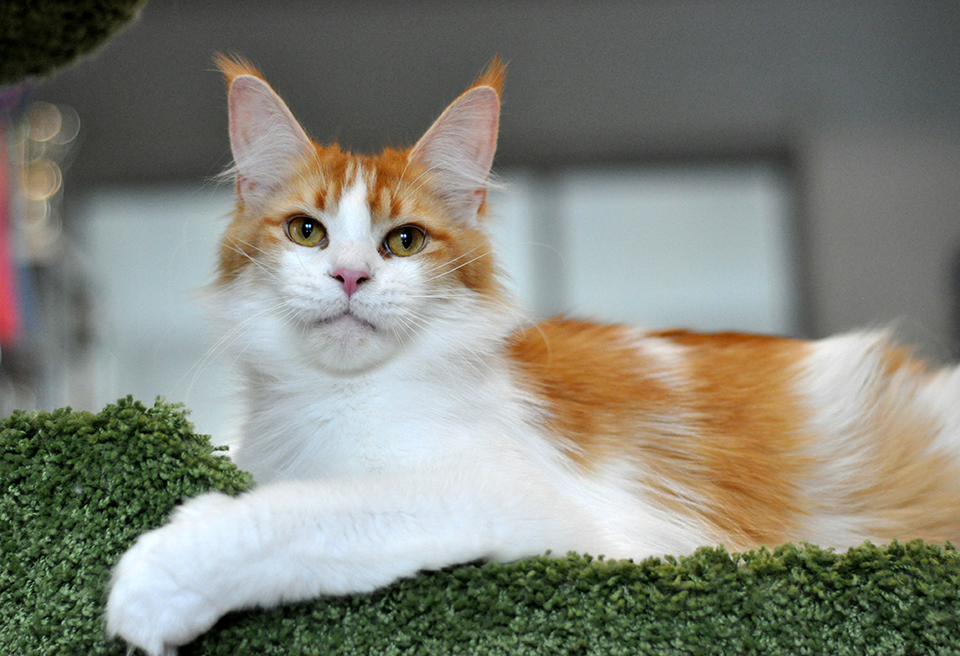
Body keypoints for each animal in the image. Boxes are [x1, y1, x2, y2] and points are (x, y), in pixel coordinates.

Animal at [105, 57, 960, 656]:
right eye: (307, 232)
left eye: (403, 241)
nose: (350, 275)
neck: (339, 400)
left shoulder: (515, 497)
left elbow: (307, 513)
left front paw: (159, 576)